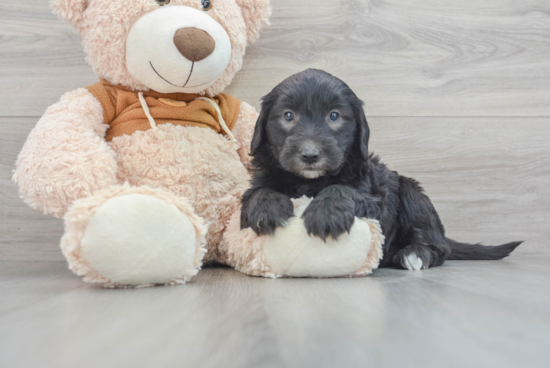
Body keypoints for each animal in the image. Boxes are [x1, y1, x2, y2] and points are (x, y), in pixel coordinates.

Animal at [244, 69, 524, 270]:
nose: (310, 155)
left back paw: (415, 254)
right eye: (288, 116)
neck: (311, 181)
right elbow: (255, 193)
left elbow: (342, 189)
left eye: (334, 116)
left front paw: (326, 213)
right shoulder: (257, 182)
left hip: (412, 194)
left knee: (438, 246)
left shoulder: (375, 199)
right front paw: (267, 208)